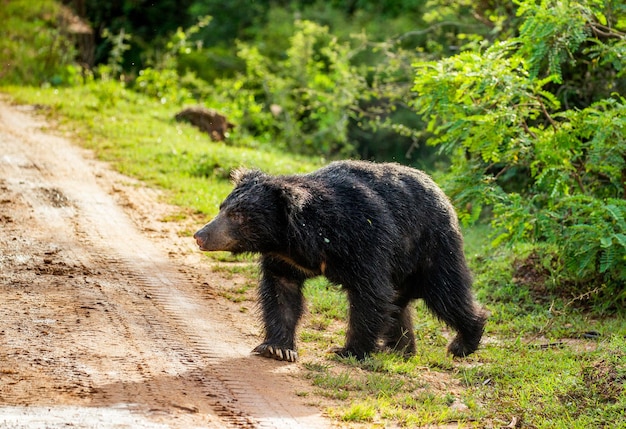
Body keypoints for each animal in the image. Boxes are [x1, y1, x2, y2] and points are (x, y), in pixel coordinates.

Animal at [193, 160, 486, 362]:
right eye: (222, 208)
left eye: (238, 216)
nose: (200, 236)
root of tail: (442, 194)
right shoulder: (284, 259)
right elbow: (281, 292)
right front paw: (278, 349)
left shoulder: (365, 240)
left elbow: (370, 293)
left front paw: (347, 351)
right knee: (398, 306)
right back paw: (400, 350)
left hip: (432, 248)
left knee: (446, 294)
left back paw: (462, 343)